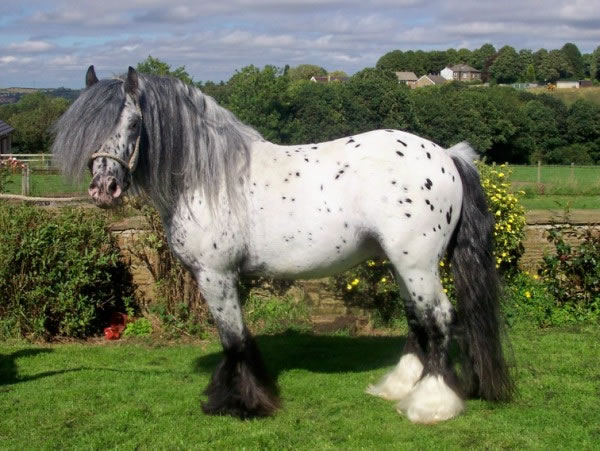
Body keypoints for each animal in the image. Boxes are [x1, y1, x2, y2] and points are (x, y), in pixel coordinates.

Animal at [51, 65, 512, 426]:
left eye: (132, 124)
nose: (104, 188)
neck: (210, 178)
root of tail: (447, 155)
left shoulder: (216, 275)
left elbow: (234, 340)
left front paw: (242, 404)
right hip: (404, 266)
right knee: (418, 319)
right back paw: (398, 387)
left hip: (416, 263)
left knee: (439, 319)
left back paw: (431, 404)